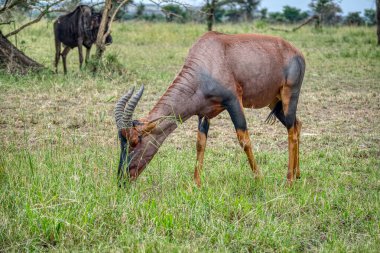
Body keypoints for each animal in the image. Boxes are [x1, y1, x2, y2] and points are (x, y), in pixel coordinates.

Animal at [113, 31, 306, 186]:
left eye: (135, 141)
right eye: (121, 141)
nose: (122, 181)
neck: (207, 61)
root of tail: (297, 52)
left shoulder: (233, 102)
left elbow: (244, 140)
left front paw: (259, 179)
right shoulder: (203, 114)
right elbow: (200, 144)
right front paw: (195, 184)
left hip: (290, 94)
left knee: (291, 131)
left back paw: (289, 181)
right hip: (274, 102)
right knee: (297, 124)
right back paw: (297, 175)